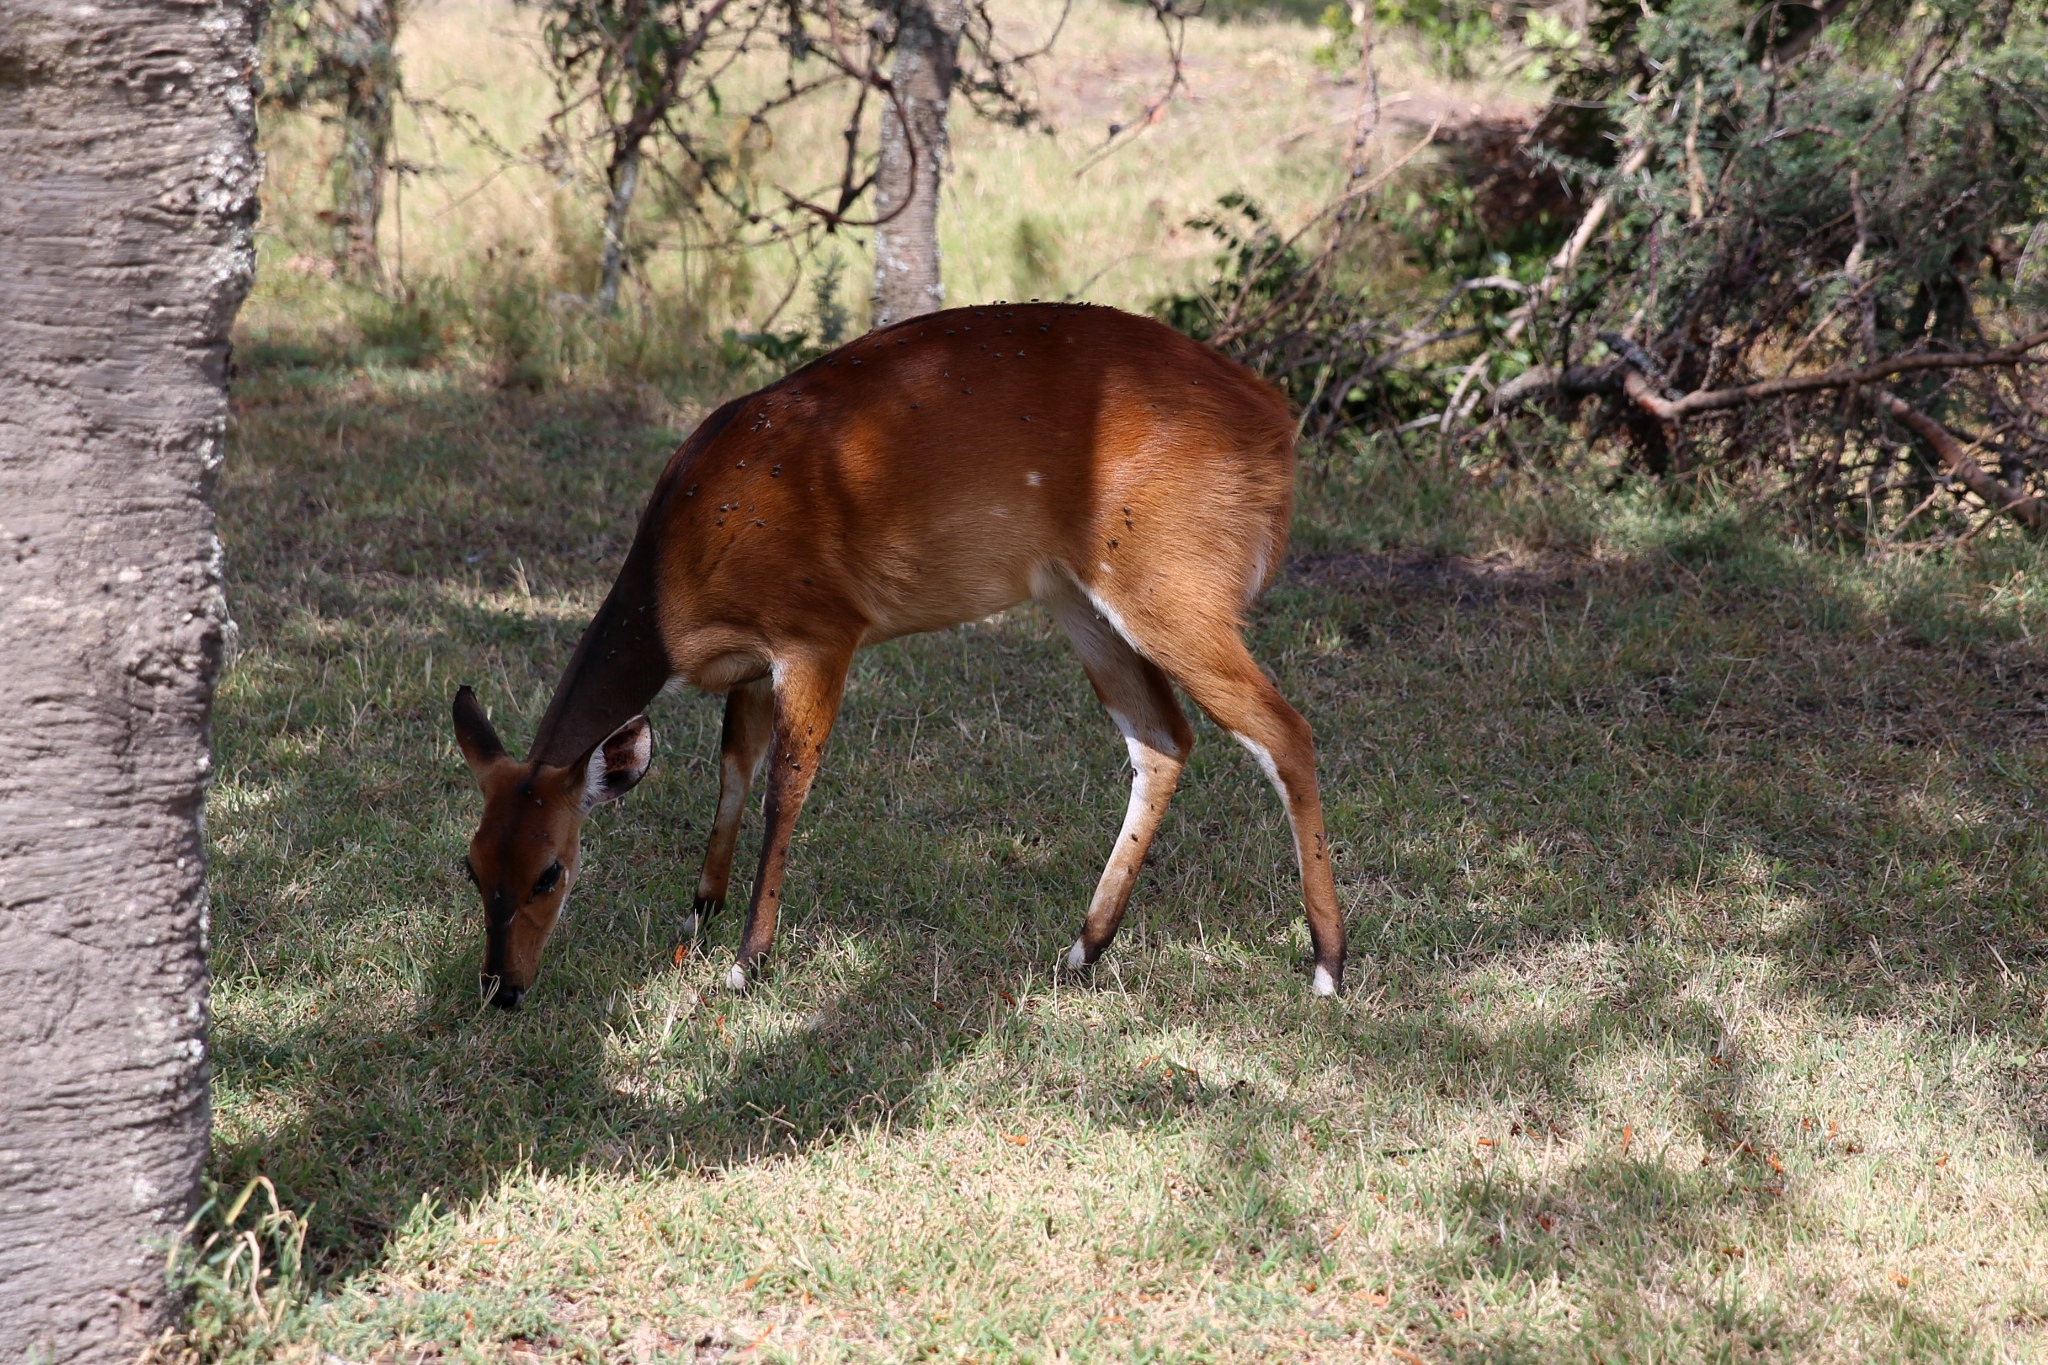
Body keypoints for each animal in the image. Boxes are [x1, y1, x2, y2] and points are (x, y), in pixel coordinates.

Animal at [450, 300, 1343, 1002]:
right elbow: (731, 771)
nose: (501, 986)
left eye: (550, 870)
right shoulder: (750, 665)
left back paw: (1327, 965)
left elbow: (784, 790)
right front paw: (699, 910)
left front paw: (747, 960)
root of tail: (1277, 426)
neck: (678, 579)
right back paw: (1082, 948)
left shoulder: (819, 633)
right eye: (472, 864)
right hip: (1080, 598)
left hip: (1172, 585)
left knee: (1284, 729)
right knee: (1163, 737)